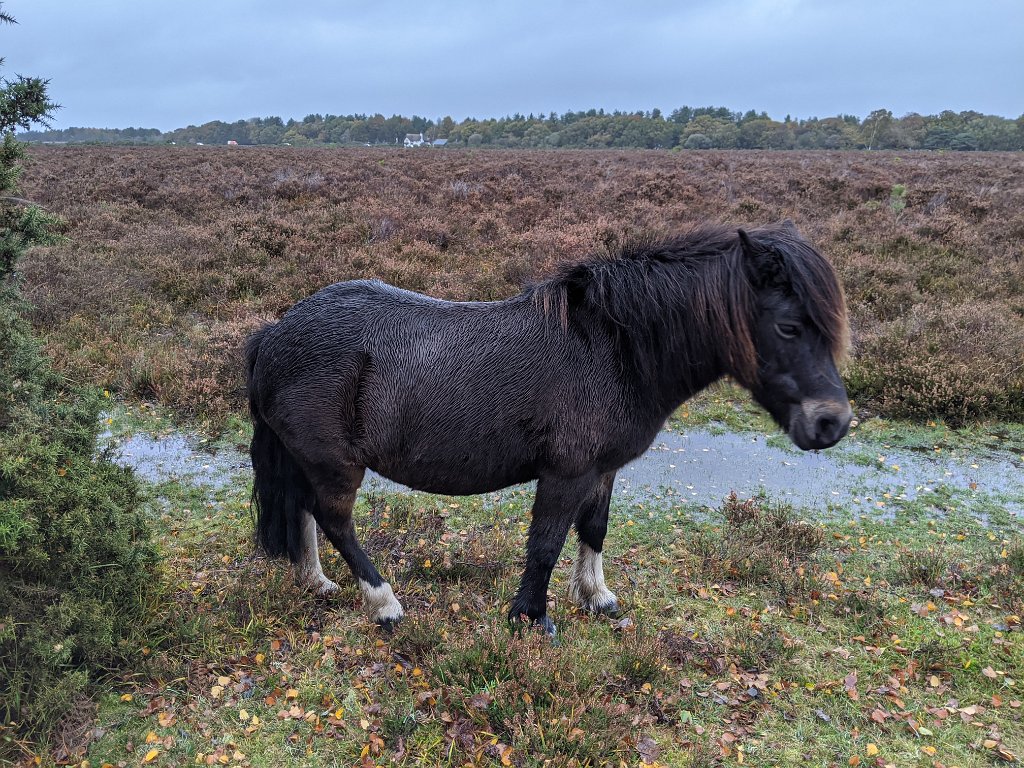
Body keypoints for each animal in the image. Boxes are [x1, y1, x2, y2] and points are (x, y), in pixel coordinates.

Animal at [245, 219, 847, 634]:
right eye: (789, 326)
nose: (832, 423)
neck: (616, 347)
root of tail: (275, 332)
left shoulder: (603, 471)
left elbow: (594, 529)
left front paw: (597, 597)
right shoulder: (566, 474)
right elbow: (547, 543)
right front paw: (532, 618)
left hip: (309, 459)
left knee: (302, 509)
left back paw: (317, 582)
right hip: (335, 463)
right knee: (335, 520)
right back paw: (384, 603)